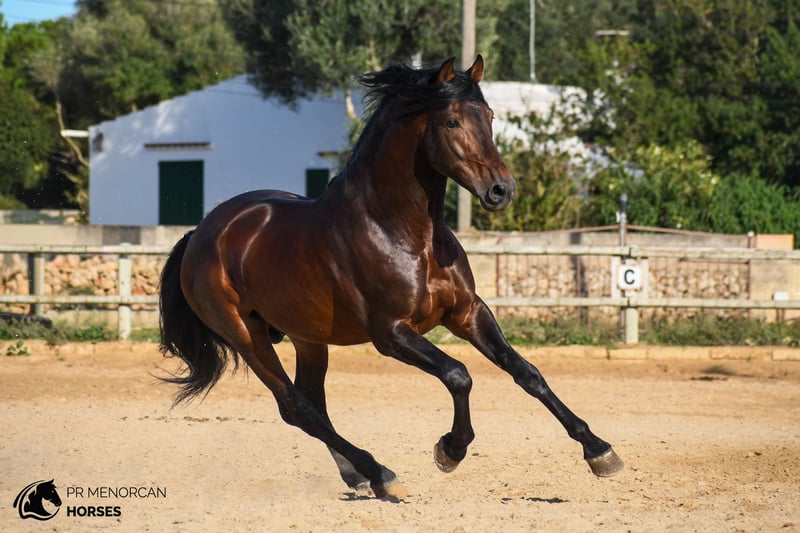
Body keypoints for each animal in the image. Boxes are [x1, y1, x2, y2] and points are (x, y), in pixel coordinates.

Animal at [159, 56, 623, 500]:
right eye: (451, 121)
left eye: (489, 116)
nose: (500, 191)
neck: (402, 231)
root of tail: (202, 233)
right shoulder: (391, 333)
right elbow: (459, 374)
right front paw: (450, 450)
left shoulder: (468, 313)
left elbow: (527, 372)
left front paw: (599, 451)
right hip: (247, 337)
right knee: (293, 406)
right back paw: (382, 474)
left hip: (307, 336)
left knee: (312, 403)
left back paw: (359, 477)